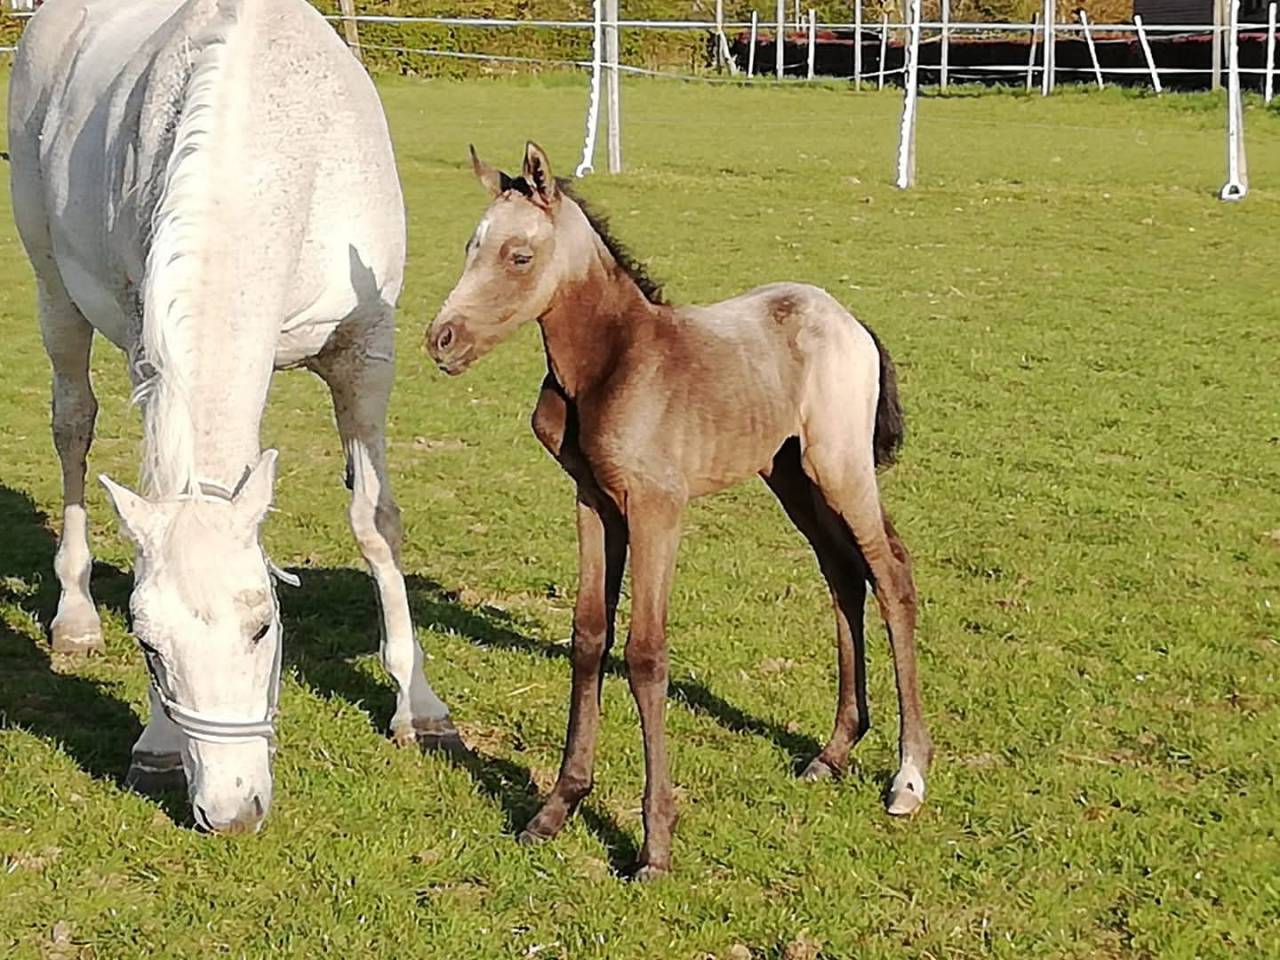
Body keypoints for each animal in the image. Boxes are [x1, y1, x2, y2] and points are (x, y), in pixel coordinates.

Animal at [8, 0, 460, 834]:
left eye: (261, 625)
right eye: (149, 647)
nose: (230, 811)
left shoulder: (365, 354)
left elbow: (376, 522)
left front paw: (419, 705)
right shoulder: (148, 349)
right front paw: (156, 743)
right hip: (54, 292)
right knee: (73, 426)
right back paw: (74, 614)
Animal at [426, 143, 933, 878]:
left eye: (518, 256)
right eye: (471, 246)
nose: (441, 338)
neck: (611, 363)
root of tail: (850, 322)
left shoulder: (657, 508)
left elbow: (645, 654)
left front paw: (654, 846)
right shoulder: (594, 503)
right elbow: (588, 637)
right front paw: (556, 809)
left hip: (841, 468)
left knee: (890, 574)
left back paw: (908, 777)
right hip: (791, 475)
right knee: (844, 575)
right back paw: (833, 752)